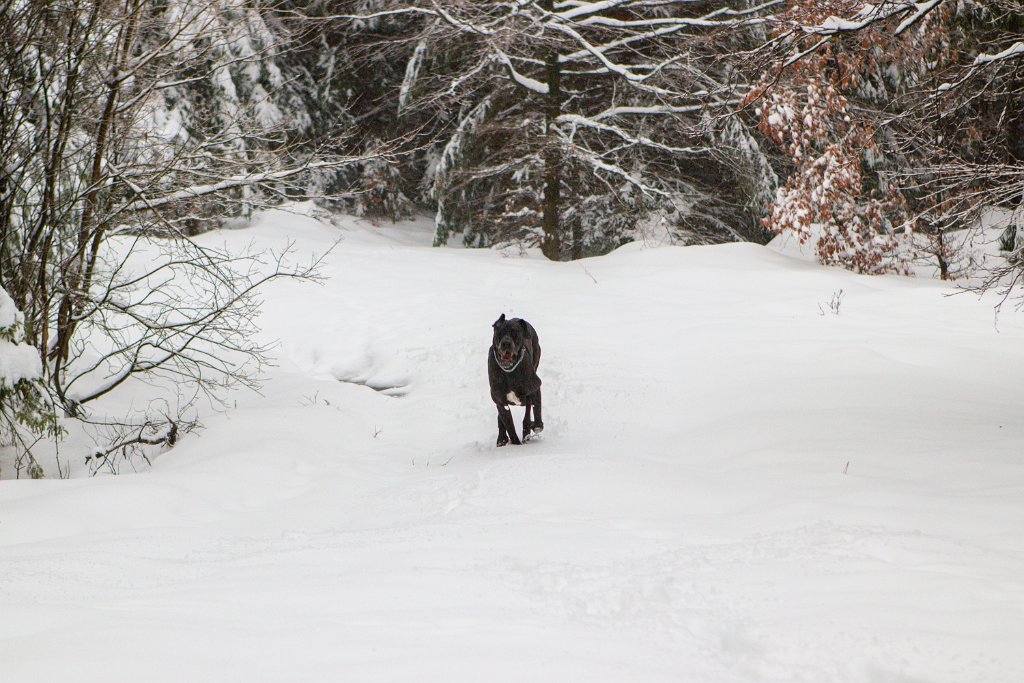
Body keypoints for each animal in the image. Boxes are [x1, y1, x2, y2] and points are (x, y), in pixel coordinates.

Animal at [487, 313, 544, 446]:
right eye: (499, 332)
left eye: (515, 333)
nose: (506, 343)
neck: (510, 372)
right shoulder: (500, 401)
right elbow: (509, 426)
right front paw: (516, 446)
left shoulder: (535, 386)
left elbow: (536, 411)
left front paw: (535, 426)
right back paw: (502, 439)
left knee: (528, 412)